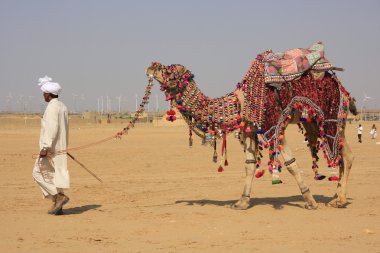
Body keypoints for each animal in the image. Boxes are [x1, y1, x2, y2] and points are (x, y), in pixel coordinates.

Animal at [145, 42, 356, 210]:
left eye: (169, 69)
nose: (150, 66)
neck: (239, 102)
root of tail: (344, 90)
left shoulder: (274, 125)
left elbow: (291, 164)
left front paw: (310, 201)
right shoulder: (249, 129)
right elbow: (249, 165)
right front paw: (242, 202)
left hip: (332, 118)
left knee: (346, 155)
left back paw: (339, 200)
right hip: (313, 122)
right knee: (340, 155)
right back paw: (336, 197)